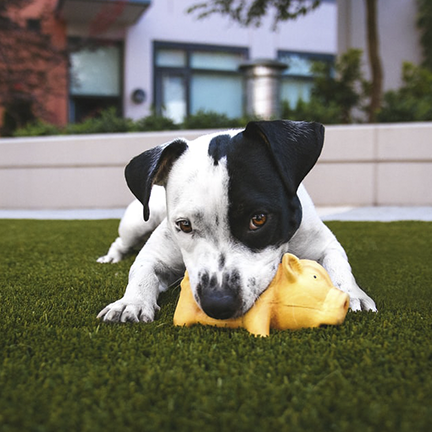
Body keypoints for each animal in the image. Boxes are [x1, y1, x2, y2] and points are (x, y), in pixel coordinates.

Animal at [96, 120, 376, 322]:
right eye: (184, 225)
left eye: (258, 219)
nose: (218, 303)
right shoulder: (156, 254)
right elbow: (142, 271)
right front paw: (130, 302)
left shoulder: (324, 244)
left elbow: (339, 265)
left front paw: (352, 294)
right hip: (138, 222)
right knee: (121, 241)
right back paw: (111, 257)